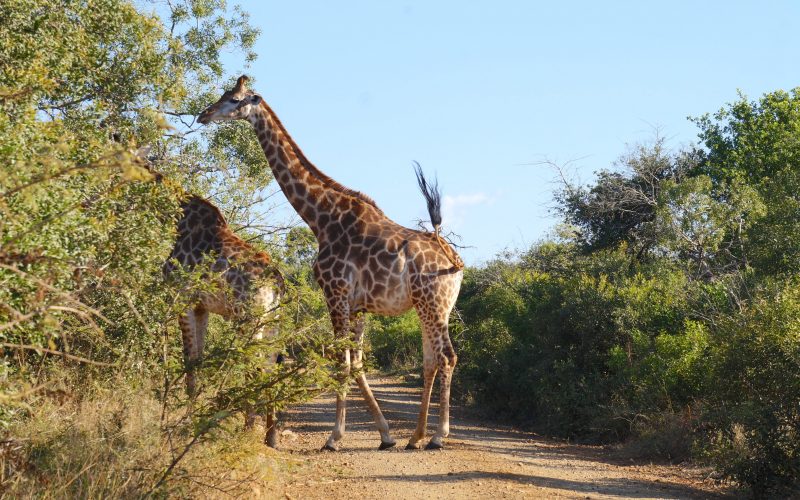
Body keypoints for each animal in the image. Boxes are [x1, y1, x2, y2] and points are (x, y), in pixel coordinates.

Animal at [162, 192, 288, 450]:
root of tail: (276, 281)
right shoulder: (202, 307)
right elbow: (198, 359)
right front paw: (193, 416)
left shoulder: (182, 298)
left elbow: (189, 361)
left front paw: (187, 421)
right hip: (273, 323)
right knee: (269, 370)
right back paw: (270, 438)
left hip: (250, 319)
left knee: (253, 369)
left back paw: (247, 431)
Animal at [197, 75, 466, 454]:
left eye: (234, 99)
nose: (204, 114)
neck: (321, 219)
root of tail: (454, 260)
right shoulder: (358, 305)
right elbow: (357, 363)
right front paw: (385, 436)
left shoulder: (335, 293)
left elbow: (342, 362)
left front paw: (334, 438)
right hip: (432, 305)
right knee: (431, 360)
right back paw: (415, 437)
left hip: (433, 302)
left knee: (446, 357)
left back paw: (438, 436)